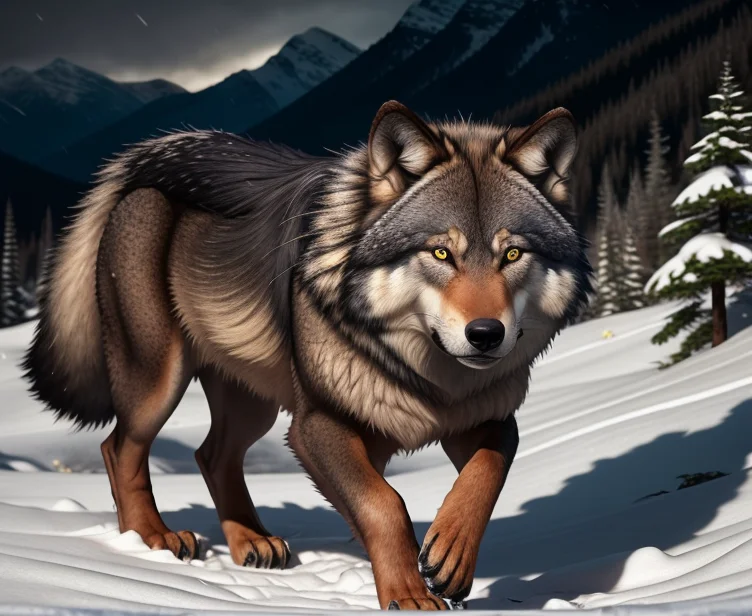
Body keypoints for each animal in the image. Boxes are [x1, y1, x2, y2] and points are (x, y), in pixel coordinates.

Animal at [24, 101, 592, 610]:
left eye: (512, 254)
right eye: (440, 252)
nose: (485, 334)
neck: (429, 373)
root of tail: (140, 185)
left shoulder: (479, 419)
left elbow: (486, 472)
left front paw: (450, 555)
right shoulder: (316, 425)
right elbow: (384, 504)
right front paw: (409, 595)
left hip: (253, 403)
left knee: (211, 454)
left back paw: (251, 543)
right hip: (158, 383)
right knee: (118, 448)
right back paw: (152, 540)